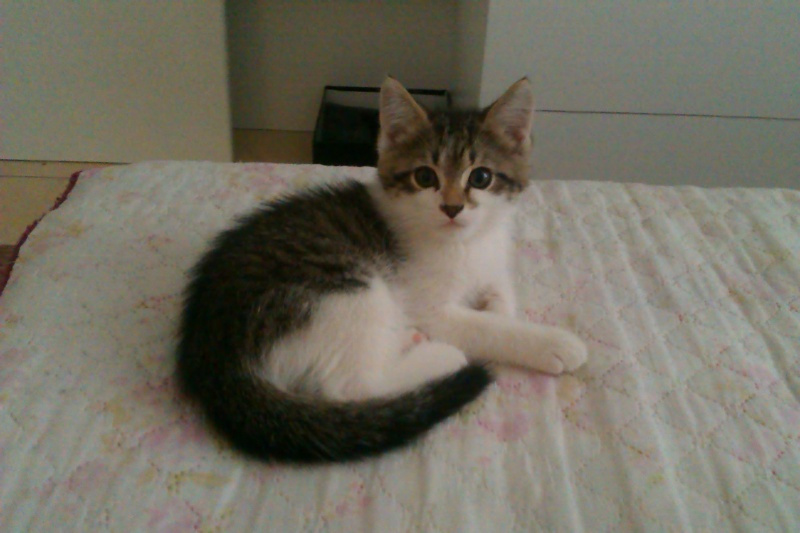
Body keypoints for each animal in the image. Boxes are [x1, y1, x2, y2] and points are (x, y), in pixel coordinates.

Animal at [177, 77, 587, 463]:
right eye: (425, 177)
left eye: (481, 177)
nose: (452, 207)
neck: (465, 244)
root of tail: (214, 357)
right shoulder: (427, 307)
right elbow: (484, 327)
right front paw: (552, 343)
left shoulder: (493, 262)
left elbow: (500, 298)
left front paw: (498, 309)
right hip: (345, 288)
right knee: (353, 387)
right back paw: (439, 356)